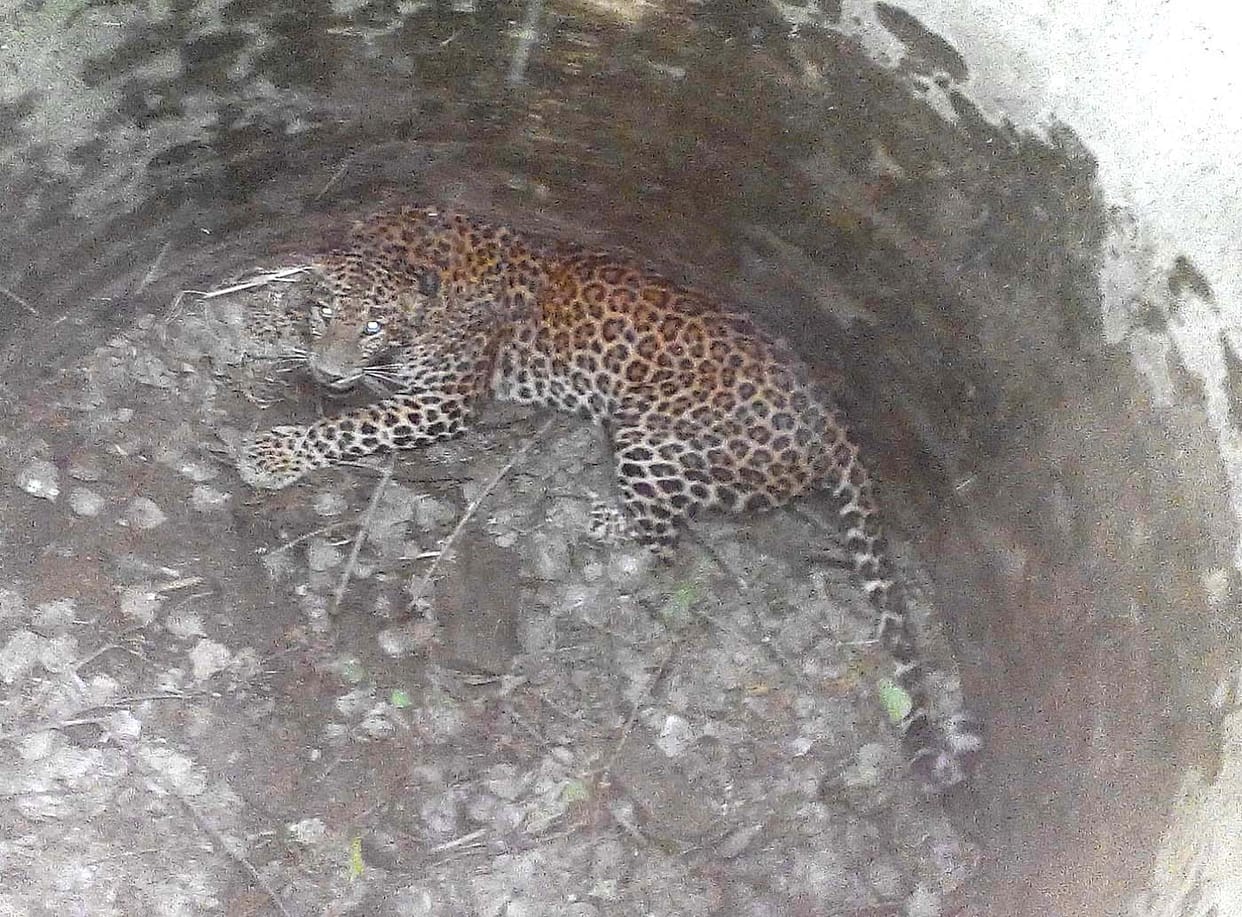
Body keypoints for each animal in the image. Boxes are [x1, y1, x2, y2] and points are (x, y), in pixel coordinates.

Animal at [237, 206, 983, 791]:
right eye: (329, 312)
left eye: (371, 327)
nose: (329, 371)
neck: (422, 248)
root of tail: (833, 422)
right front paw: (269, 322)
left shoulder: (442, 402)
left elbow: (352, 425)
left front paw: (274, 454)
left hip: (648, 434)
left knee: (667, 542)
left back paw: (601, 518)